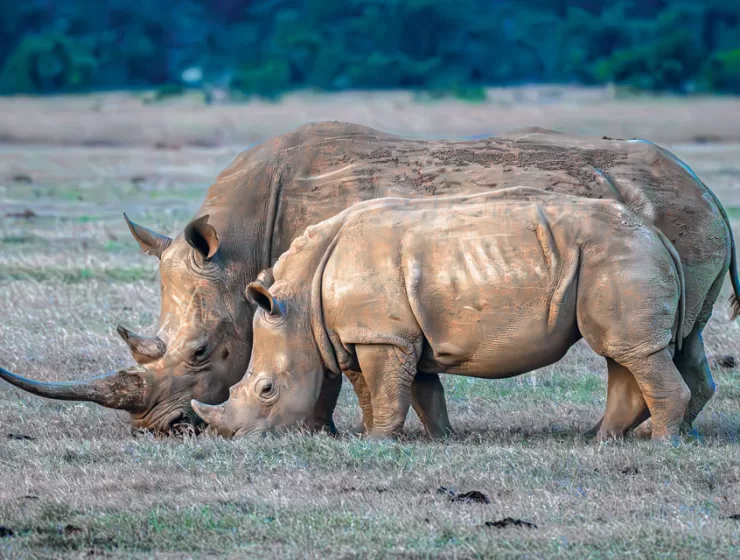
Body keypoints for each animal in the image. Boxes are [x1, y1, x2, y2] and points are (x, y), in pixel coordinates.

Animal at [191, 188, 691, 440]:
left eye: (267, 390)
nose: (238, 438)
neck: (297, 303)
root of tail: (658, 235)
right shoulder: (364, 334)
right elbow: (408, 390)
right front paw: (436, 438)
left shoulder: (381, 336)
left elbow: (388, 391)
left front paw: (377, 442)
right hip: (612, 258)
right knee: (623, 353)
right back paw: (598, 440)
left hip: (620, 257)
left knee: (631, 352)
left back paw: (662, 445)